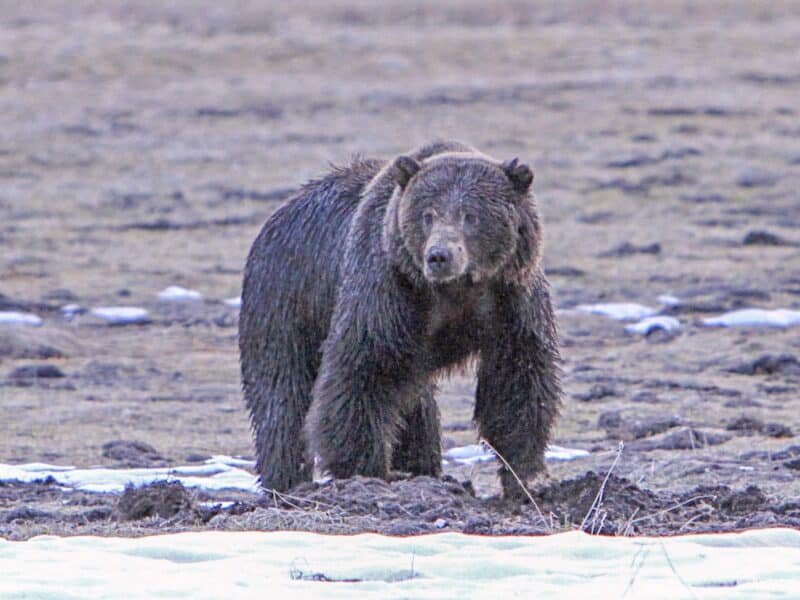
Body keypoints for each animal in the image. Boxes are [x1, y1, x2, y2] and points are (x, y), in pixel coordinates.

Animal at [239, 141, 561, 498]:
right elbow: (362, 369)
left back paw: (422, 467)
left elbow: (517, 376)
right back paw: (287, 481)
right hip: (286, 302)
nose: (439, 256)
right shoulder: (388, 290)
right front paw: (364, 470)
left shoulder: (512, 298)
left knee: (415, 406)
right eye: (428, 214)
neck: (455, 290)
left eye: (471, 215)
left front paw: (528, 475)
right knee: (282, 395)